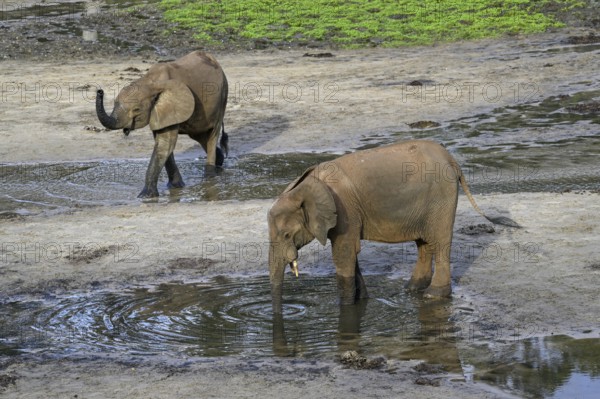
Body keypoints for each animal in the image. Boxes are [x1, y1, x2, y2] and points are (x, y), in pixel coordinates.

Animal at [95, 50, 229, 199]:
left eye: (136, 109)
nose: (100, 91)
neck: (150, 83)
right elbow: (163, 144)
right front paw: (176, 186)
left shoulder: (171, 106)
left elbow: (164, 144)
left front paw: (145, 196)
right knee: (199, 135)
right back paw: (219, 161)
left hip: (222, 97)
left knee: (212, 135)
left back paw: (210, 179)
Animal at [268, 142, 520, 314]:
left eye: (287, 234)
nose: (284, 313)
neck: (302, 188)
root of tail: (453, 161)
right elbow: (351, 254)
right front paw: (363, 300)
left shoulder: (345, 210)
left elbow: (344, 254)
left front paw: (347, 307)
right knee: (424, 243)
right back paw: (412, 289)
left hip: (442, 199)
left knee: (440, 243)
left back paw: (432, 295)